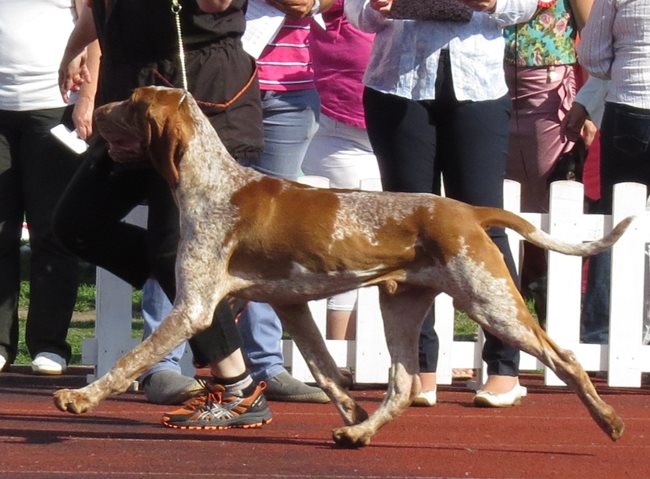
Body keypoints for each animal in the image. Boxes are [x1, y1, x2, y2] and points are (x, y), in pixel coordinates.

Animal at [54, 87, 628, 450]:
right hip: (401, 304)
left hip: (492, 302)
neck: (214, 181)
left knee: (566, 358)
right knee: (402, 382)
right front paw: (351, 416)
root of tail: (468, 210)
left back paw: (609, 421)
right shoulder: (291, 306)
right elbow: (329, 374)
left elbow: (131, 358)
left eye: (132, 102)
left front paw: (81, 397)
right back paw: (360, 434)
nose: (93, 108)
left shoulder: (194, 306)